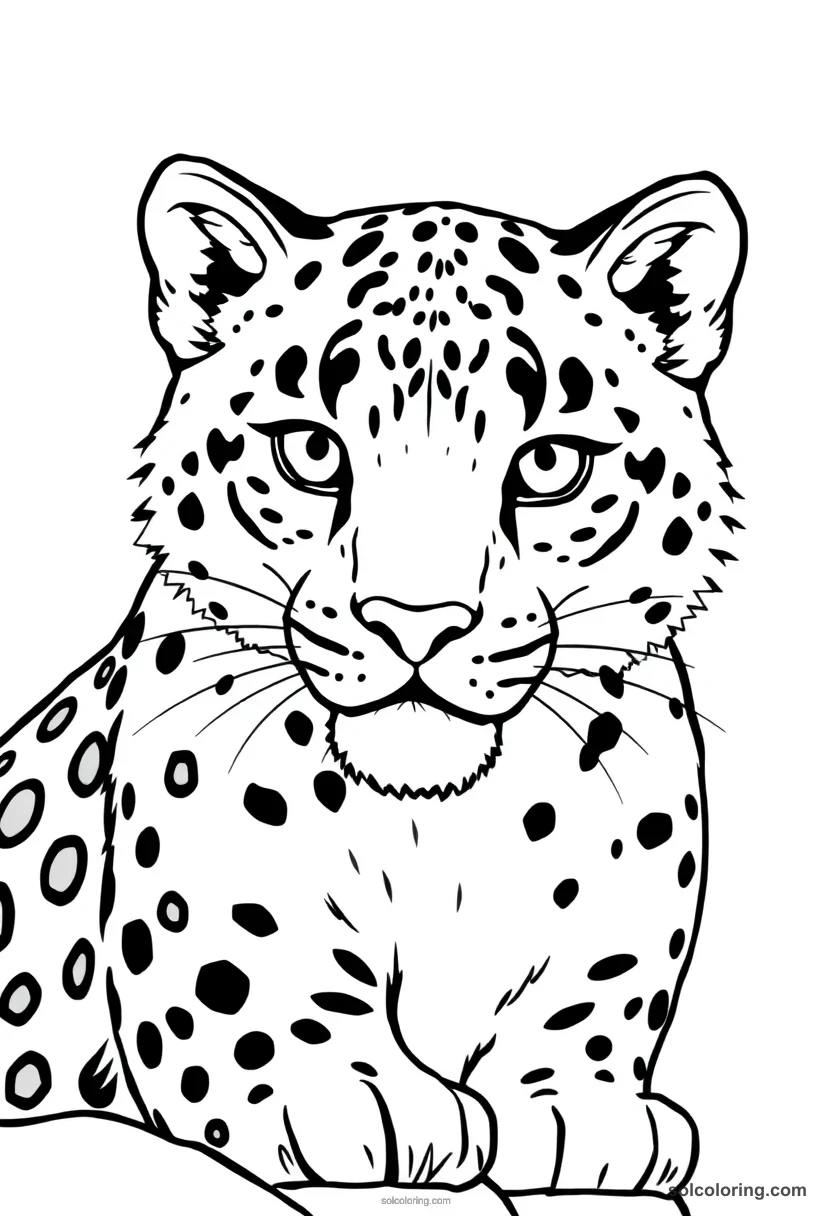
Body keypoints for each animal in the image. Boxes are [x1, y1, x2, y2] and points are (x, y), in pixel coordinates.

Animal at [0, 156, 746, 1214]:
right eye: (312, 450)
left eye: (551, 463)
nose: (417, 621)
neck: (445, 830)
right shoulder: (216, 983)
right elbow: (272, 1026)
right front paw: (366, 1100)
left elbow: (582, 1014)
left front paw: (581, 1111)